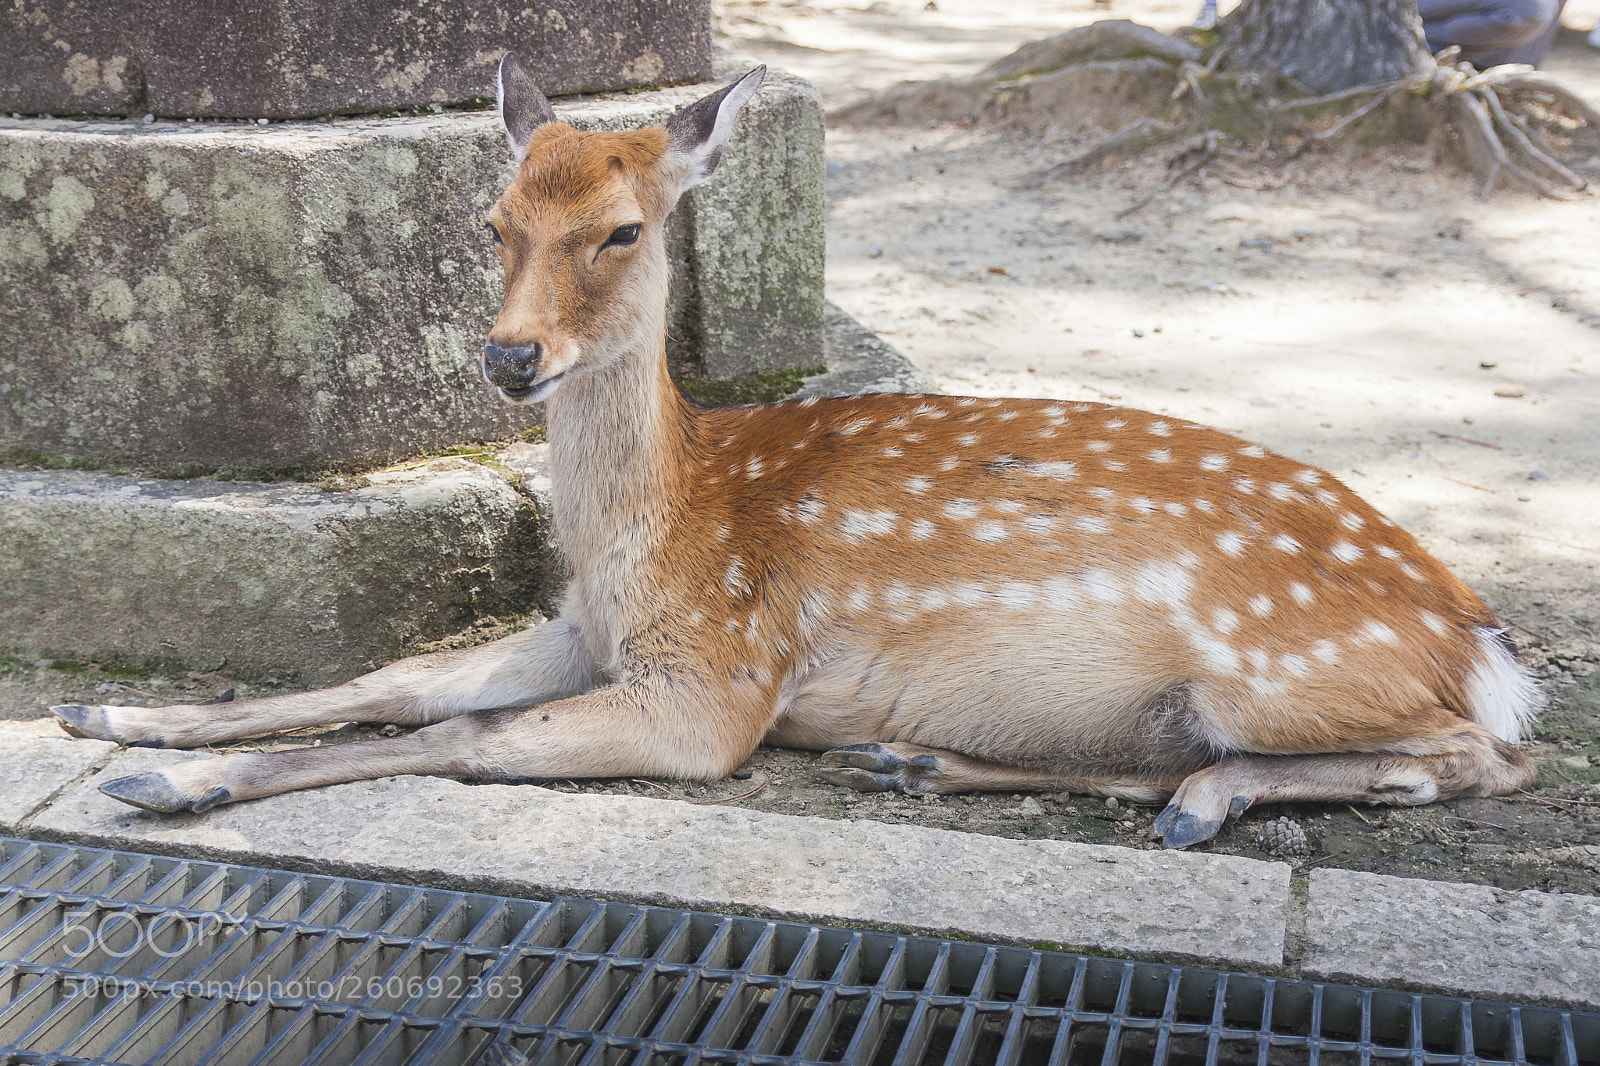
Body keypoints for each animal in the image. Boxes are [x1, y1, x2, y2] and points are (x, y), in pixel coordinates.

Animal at [51, 55, 1541, 850]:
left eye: (622, 229)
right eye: (492, 220)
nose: (509, 357)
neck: (653, 525)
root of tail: (1476, 632)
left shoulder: (719, 675)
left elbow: (463, 734)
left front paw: (168, 780)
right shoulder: (587, 626)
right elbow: (396, 680)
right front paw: (119, 719)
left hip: (1281, 669)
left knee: (1480, 758)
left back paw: (1213, 796)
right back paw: (933, 765)